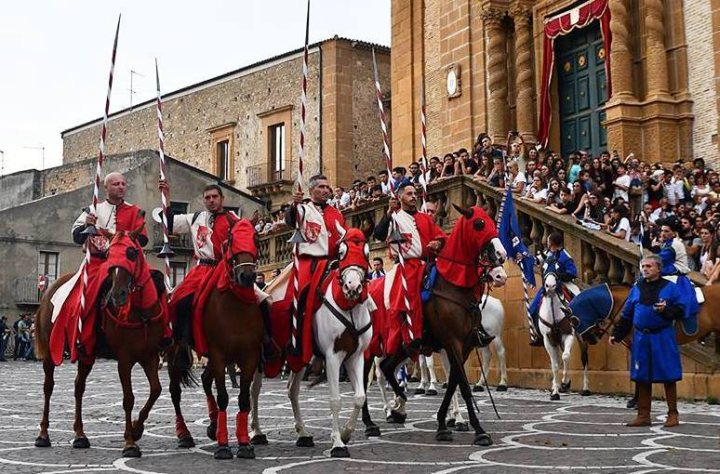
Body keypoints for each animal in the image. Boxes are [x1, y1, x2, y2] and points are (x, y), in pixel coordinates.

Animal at [33, 228, 166, 458]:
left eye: (131, 253)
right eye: (108, 254)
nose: (116, 296)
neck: (141, 313)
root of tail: (50, 289)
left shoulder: (150, 356)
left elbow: (156, 390)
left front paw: (137, 429)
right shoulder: (125, 359)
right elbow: (128, 398)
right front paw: (130, 443)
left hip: (86, 354)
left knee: (79, 387)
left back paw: (80, 436)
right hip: (51, 352)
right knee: (48, 387)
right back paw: (43, 435)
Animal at [165, 220, 262, 462]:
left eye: (255, 239)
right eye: (231, 239)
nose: (247, 276)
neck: (236, 308)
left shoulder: (248, 358)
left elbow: (243, 398)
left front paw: (244, 444)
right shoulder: (219, 355)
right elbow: (224, 397)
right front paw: (224, 446)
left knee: (206, 380)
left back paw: (212, 425)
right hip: (175, 355)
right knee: (175, 392)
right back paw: (184, 434)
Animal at [249, 224, 374, 458]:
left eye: (366, 253)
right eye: (341, 252)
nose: (352, 287)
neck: (348, 306)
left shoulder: (356, 356)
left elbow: (359, 397)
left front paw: (346, 433)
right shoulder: (333, 357)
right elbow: (335, 401)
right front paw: (337, 443)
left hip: (299, 356)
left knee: (292, 390)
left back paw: (303, 433)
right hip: (261, 358)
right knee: (254, 389)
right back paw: (257, 432)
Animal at [536, 260, 576, 400]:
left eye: (558, 269)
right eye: (543, 268)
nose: (550, 286)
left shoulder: (568, 335)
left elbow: (566, 356)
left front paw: (565, 382)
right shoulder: (548, 339)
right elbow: (554, 366)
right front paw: (555, 392)